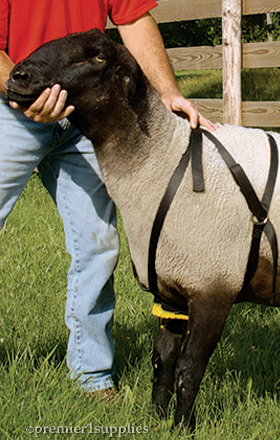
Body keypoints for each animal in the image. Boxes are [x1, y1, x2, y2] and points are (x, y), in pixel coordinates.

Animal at [5, 29, 280, 428]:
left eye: (98, 57)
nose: (17, 76)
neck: (164, 159)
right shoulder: (171, 291)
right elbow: (161, 361)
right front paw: (159, 420)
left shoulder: (213, 286)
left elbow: (188, 369)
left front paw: (184, 427)